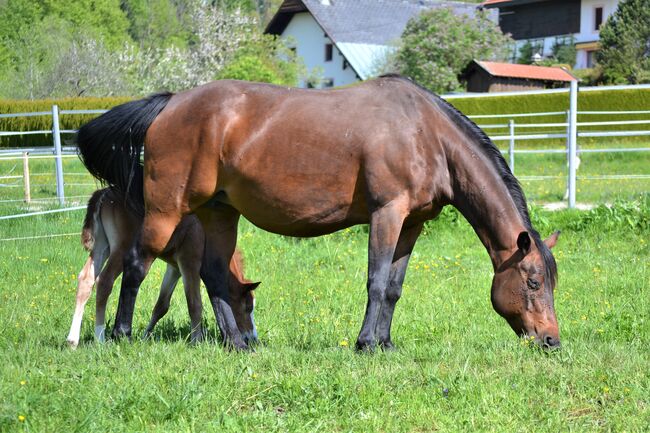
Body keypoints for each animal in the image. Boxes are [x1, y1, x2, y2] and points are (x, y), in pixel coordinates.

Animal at [65, 186, 258, 348]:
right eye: (247, 306)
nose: (252, 338)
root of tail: (102, 194)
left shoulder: (175, 269)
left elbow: (161, 306)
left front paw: (145, 336)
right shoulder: (189, 262)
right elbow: (194, 303)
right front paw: (197, 341)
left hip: (101, 246)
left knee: (86, 279)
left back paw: (73, 340)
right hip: (120, 248)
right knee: (104, 281)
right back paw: (100, 338)